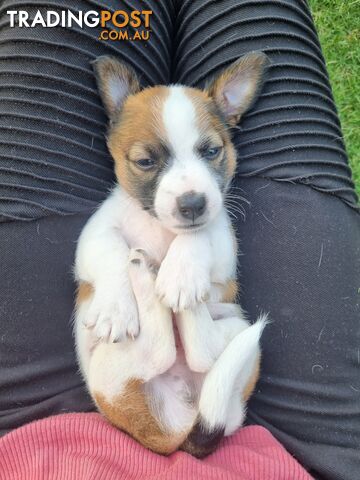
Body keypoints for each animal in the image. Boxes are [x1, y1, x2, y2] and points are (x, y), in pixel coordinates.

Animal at [74, 52, 268, 458]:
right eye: (145, 161)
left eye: (211, 151)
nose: (192, 203)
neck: (161, 229)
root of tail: (178, 433)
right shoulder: (94, 235)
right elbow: (111, 250)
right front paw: (116, 308)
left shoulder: (223, 243)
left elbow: (199, 235)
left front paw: (181, 273)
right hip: (108, 370)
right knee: (164, 348)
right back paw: (143, 273)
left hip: (235, 325)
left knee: (195, 350)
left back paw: (156, 280)